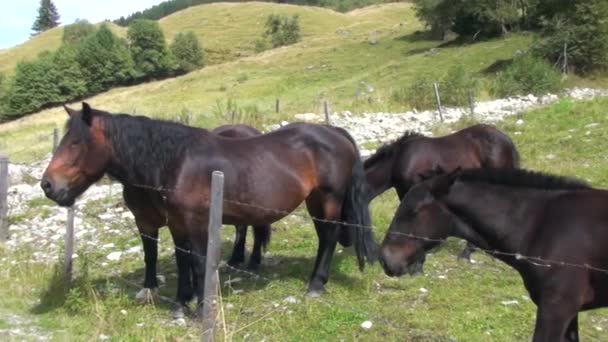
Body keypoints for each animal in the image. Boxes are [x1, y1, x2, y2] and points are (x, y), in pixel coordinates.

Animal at [40, 102, 376, 318]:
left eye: (75, 143)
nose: (47, 185)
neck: (177, 163)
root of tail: (336, 133)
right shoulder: (177, 225)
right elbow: (183, 262)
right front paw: (180, 305)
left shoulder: (198, 224)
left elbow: (200, 264)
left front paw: (202, 309)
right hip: (315, 202)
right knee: (322, 236)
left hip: (329, 200)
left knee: (328, 237)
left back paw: (316, 285)